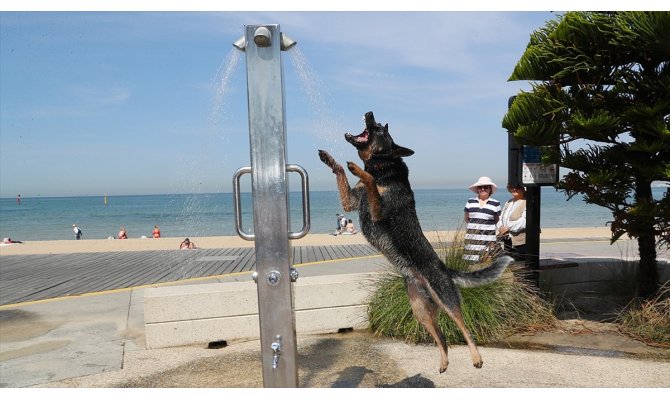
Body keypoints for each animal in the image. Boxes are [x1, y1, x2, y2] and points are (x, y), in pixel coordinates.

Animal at [320, 110, 516, 372]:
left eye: (380, 128)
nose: (369, 112)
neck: (382, 165)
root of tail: (445, 268)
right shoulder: (350, 203)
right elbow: (341, 171)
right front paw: (329, 158)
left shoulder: (378, 212)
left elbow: (369, 181)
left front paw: (358, 169)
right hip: (420, 310)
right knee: (441, 337)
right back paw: (443, 362)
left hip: (446, 300)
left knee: (464, 328)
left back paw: (477, 358)